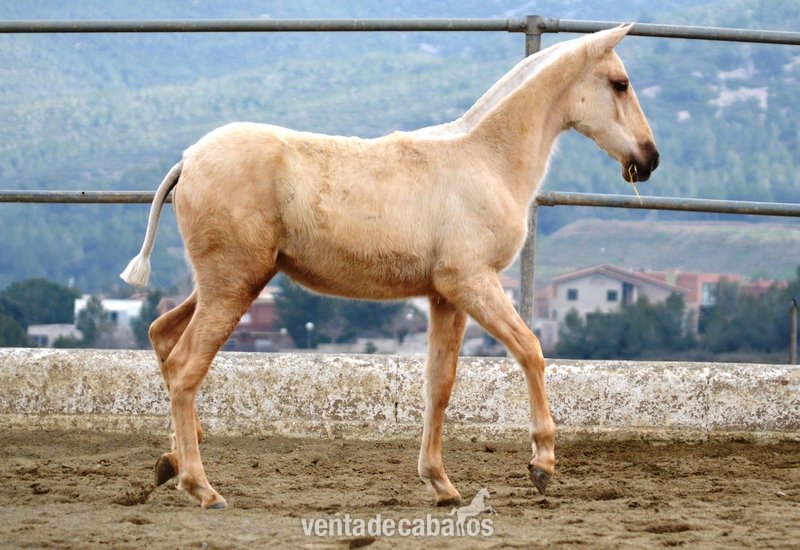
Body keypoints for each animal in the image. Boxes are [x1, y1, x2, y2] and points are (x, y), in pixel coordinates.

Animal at [121, 23, 659, 509]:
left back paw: (171, 462)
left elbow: (439, 385)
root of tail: (188, 160)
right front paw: (542, 465)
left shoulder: (445, 297)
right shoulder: (472, 281)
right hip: (234, 284)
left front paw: (441, 485)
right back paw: (202, 487)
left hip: (229, 281)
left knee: (162, 336)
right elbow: (530, 349)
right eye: (620, 83)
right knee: (186, 366)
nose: (649, 159)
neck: (484, 160)